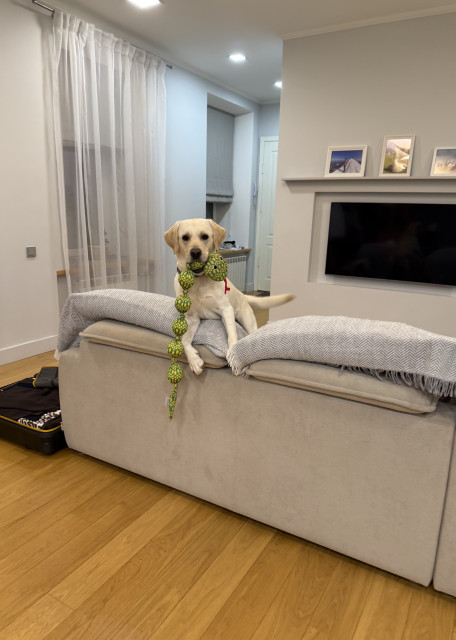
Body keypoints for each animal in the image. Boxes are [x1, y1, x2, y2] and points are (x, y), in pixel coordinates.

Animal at [164, 218, 294, 375]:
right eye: (185, 237)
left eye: (204, 236)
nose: (195, 252)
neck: (199, 281)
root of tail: (243, 294)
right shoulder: (191, 318)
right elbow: (184, 341)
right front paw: (194, 361)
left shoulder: (226, 309)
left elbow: (232, 336)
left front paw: (233, 356)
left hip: (247, 321)